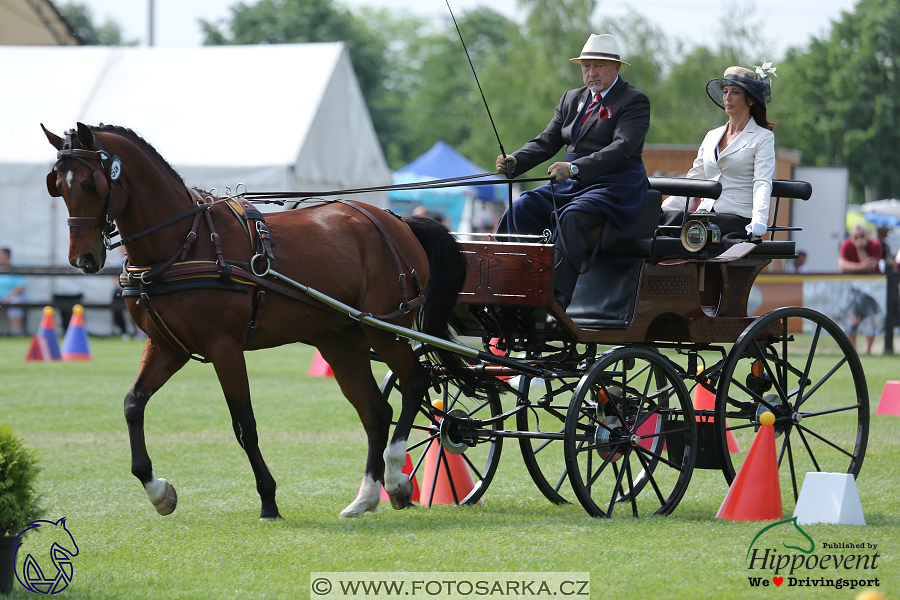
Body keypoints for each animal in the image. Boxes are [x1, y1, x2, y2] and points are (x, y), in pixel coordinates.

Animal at [44, 123, 500, 520]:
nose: (83, 259)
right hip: (340, 338)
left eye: (92, 185)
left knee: (415, 382)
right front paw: (158, 492)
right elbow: (133, 404)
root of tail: (397, 220)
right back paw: (366, 497)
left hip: (386, 327)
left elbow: (244, 424)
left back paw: (395, 477)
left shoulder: (225, 347)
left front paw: (268, 499)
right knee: (375, 409)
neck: (183, 243)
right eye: (58, 185)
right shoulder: (169, 346)